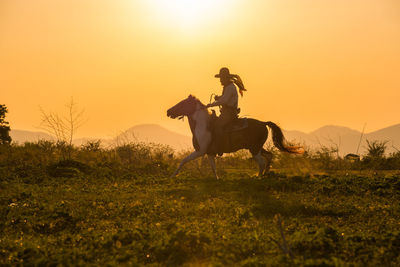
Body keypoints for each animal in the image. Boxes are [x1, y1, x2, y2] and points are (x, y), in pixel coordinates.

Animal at [166, 95, 304, 179]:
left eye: (182, 103)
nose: (168, 111)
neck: (202, 125)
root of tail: (263, 123)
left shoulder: (200, 151)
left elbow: (183, 160)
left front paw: (173, 175)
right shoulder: (210, 152)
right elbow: (213, 167)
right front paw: (217, 179)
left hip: (254, 149)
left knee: (261, 162)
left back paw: (258, 177)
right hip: (258, 147)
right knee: (269, 156)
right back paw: (265, 175)